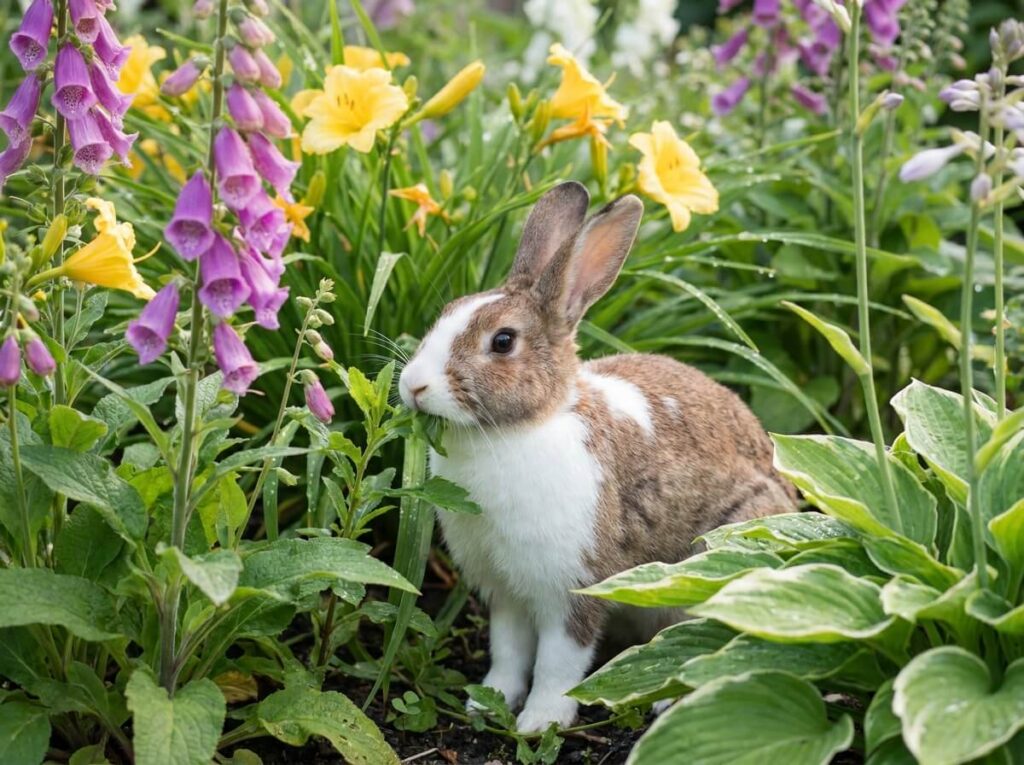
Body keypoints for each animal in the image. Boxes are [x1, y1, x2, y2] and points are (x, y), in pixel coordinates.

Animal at [398, 181, 798, 733]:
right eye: (446, 312)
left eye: (502, 341)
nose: (413, 385)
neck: (528, 425)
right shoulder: (506, 593)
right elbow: (508, 652)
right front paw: (488, 700)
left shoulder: (574, 586)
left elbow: (558, 664)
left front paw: (539, 722)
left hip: (720, 560)